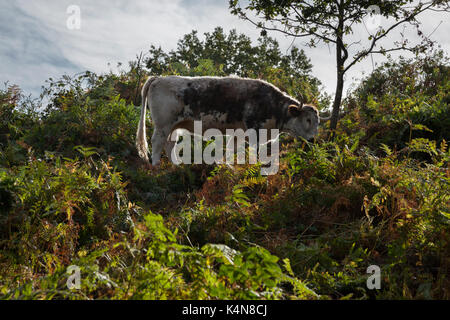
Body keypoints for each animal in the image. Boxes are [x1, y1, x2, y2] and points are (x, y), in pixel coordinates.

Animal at [135, 74, 322, 165]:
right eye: (307, 120)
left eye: (317, 121)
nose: (313, 139)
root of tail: (159, 77)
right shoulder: (255, 130)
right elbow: (254, 151)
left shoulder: (240, 131)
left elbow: (232, 148)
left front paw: (226, 165)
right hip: (163, 123)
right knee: (157, 142)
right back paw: (155, 164)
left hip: (175, 126)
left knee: (169, 144)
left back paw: (177, 164)